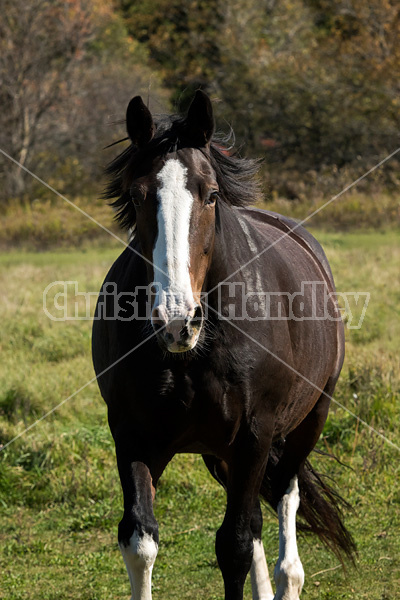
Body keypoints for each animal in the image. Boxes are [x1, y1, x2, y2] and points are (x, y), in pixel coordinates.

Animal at [92, 90, 354, 600]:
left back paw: (288, 579)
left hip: (307, 422)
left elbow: (233, 546)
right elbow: (140, 540)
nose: (177, 321)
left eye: (210, 194)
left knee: (283, 502)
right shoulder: (131, 434)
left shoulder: (254, 436)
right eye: (136, 196)